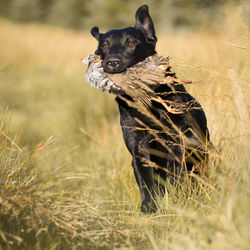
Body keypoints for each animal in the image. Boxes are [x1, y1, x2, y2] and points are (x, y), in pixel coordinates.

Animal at [91, 4, 210, 213]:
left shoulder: (177, 144)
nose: (112, 62)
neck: (148, 105)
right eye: (104, 46)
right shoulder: (139, 151)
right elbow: (147, 184)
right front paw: (149, 209)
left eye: (131, 43)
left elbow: (175, 175)